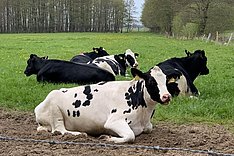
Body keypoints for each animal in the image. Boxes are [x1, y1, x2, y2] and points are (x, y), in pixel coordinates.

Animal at [34, 65, 170, 143]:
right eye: (151, 81)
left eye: (166, 81)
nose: (166, 96)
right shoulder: (114, 121)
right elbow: (130, 136)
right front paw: (108, 138)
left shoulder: (147, 126)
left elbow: (148, 129)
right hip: (54, 108)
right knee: (59, 129)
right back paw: (79, 134)